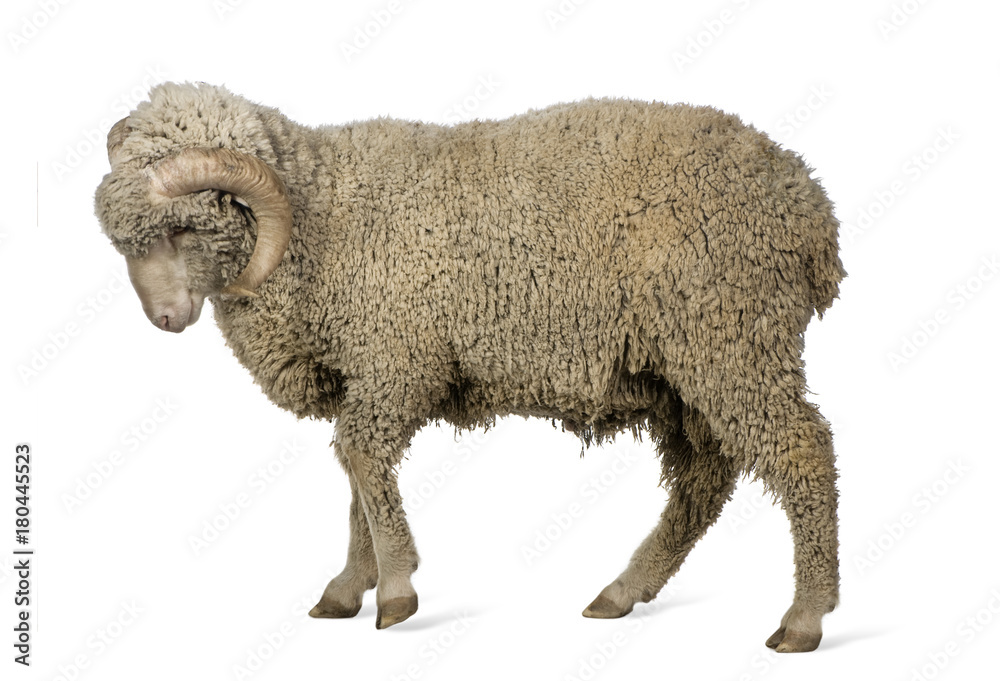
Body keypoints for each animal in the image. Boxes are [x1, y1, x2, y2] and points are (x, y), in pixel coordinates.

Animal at [94, 82, 845, 652]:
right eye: (123, 240)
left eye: (184, 227)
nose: (164, 319)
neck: (318, 214)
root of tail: (809, 204)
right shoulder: (365, 371)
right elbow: (355, 475)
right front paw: (351, 584)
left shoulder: (398, 358)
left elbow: (362, 458)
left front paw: (395, 588)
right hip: (686, 366)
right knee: (704, 479)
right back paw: (624, 590)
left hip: (732, 337)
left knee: (803, 453)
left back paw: (804, 618)